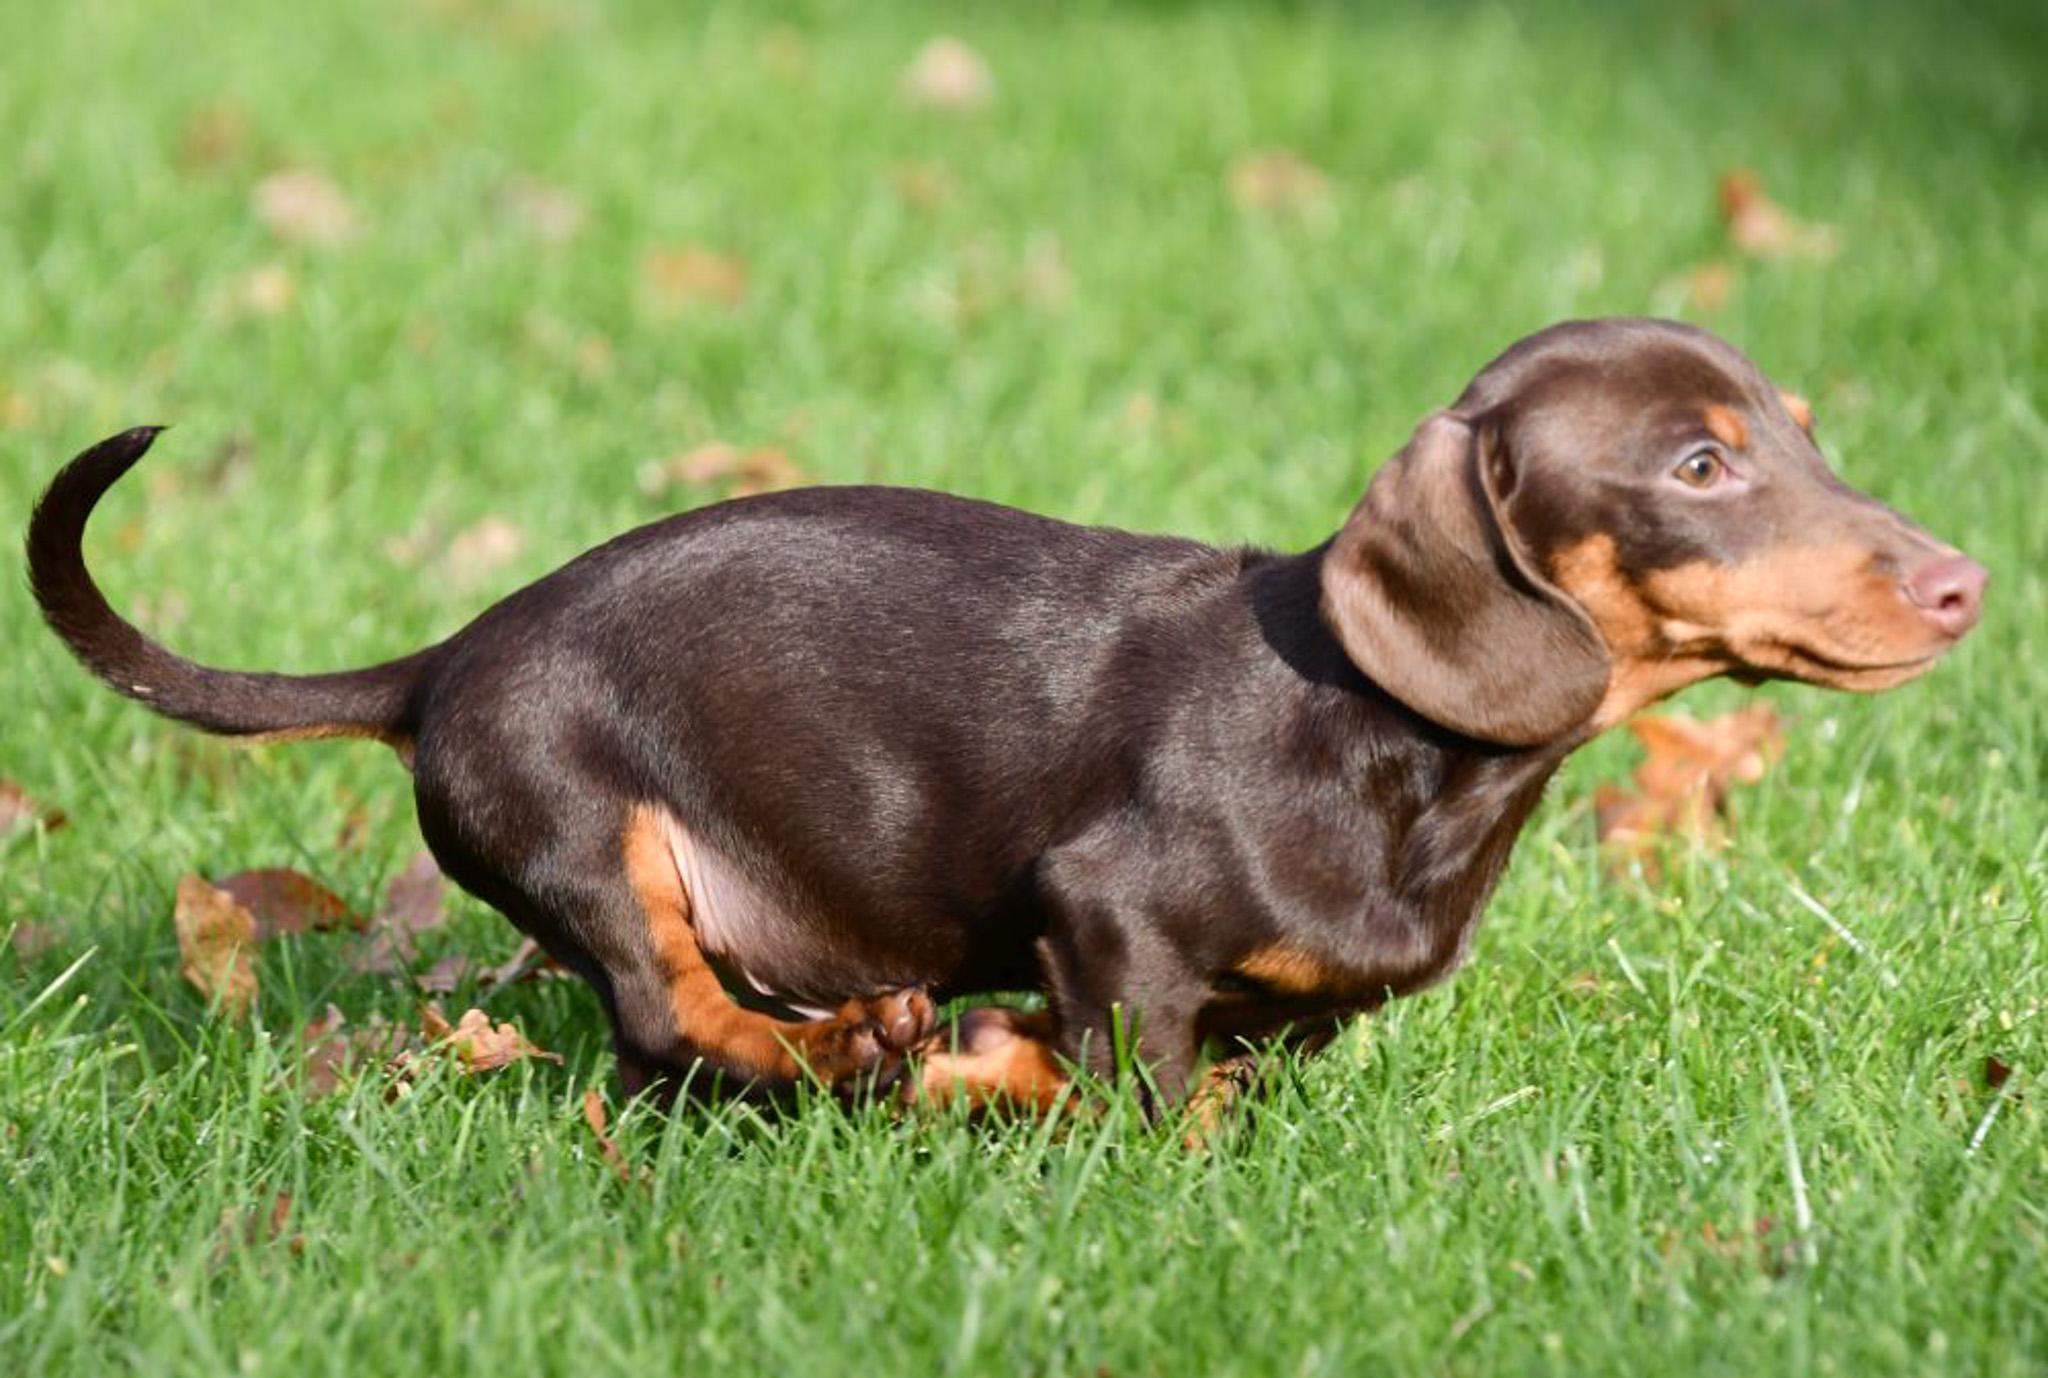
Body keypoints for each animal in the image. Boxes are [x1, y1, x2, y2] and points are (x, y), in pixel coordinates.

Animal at [28, 318, 1985, 1112]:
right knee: (671, 1014)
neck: (1397, 752)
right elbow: (1145, 1088)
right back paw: (852, 1049)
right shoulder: (1103, 912)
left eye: (1802, 435)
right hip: (591, 834)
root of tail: (442, 656)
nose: (1967, 578)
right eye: (1696, 465)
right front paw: (1018, 1081)